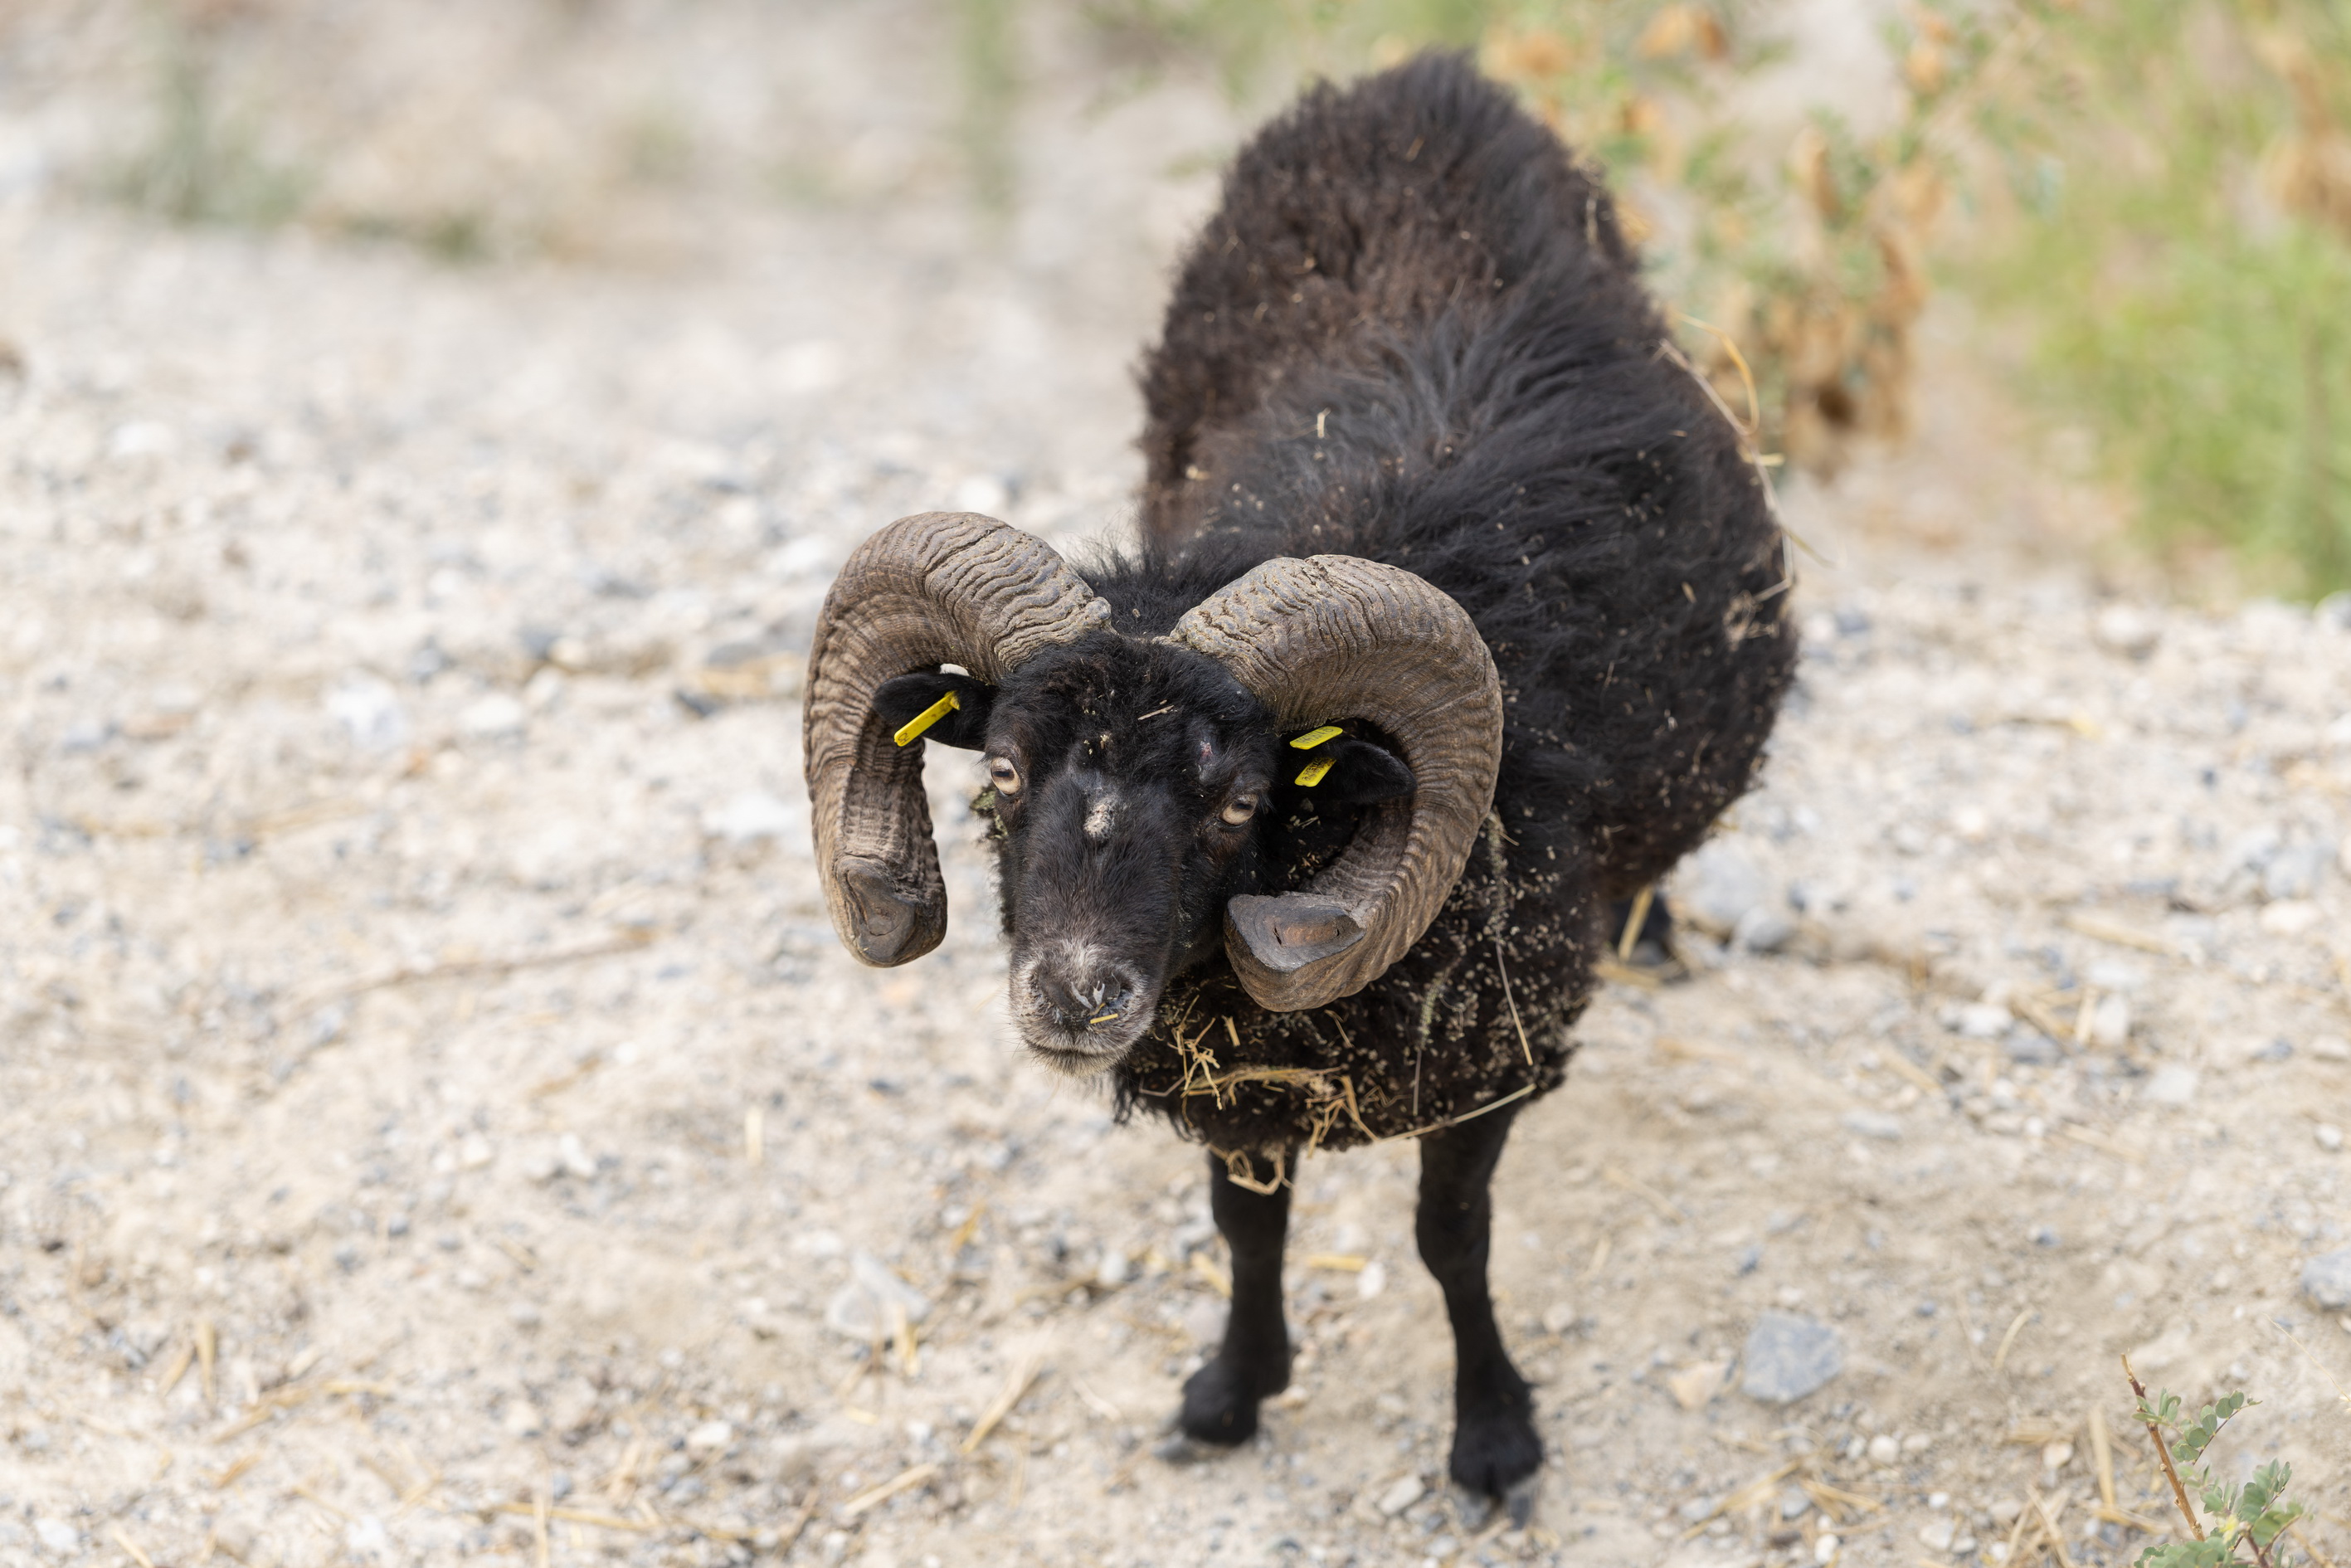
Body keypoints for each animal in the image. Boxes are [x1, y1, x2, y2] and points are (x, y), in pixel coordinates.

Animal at [801, 52, 1795, 1515]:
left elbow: (1451, 1239)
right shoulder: (1239, 1085)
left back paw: (1653, 925)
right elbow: (1245, 1222)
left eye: (1235, 802)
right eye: (1004, 775)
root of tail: (1422, 79)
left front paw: (1492, 1438)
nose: (1074, 998)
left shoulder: (1486, 1060)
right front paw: (1229, 1391)